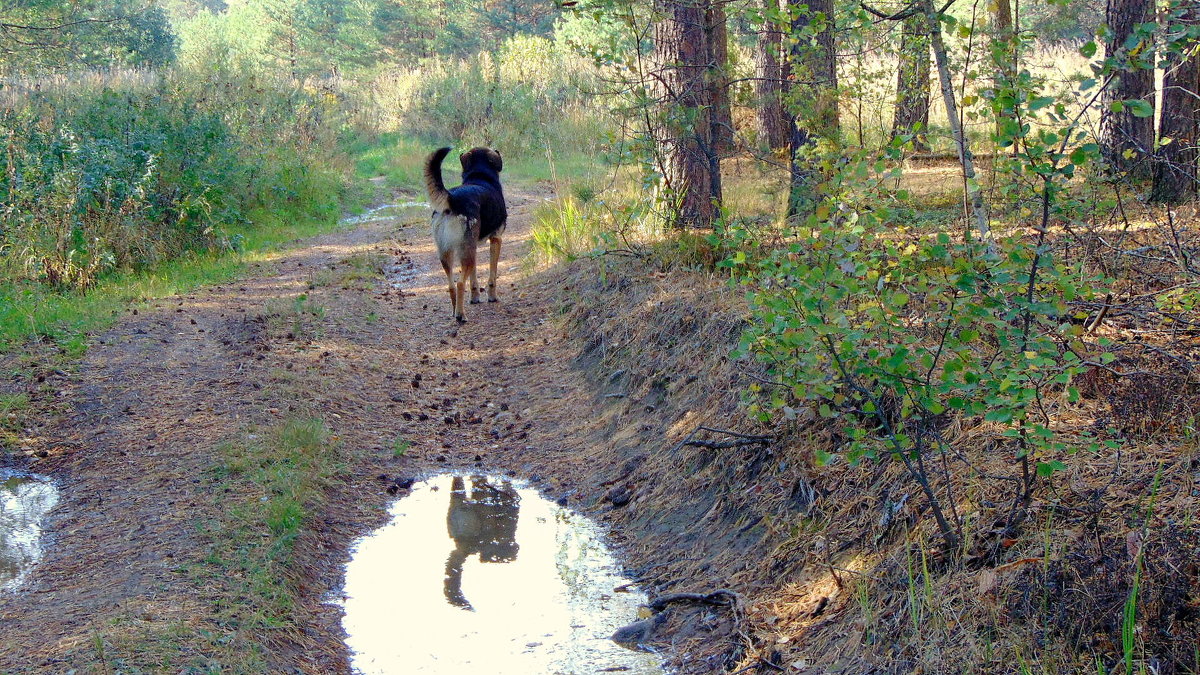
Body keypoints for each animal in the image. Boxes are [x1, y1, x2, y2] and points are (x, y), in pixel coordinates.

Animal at [424, 145, 504, 324]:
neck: (480, 177)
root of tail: (452, 199)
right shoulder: (496, 239)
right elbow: (492, 275)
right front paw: (492, 297)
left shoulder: (474, 247)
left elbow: (473, 280)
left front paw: (475, 298)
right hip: (465, 252)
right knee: (460, 284)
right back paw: (461, 316)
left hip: (448, 253)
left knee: (451, 285)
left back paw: (455, 312)